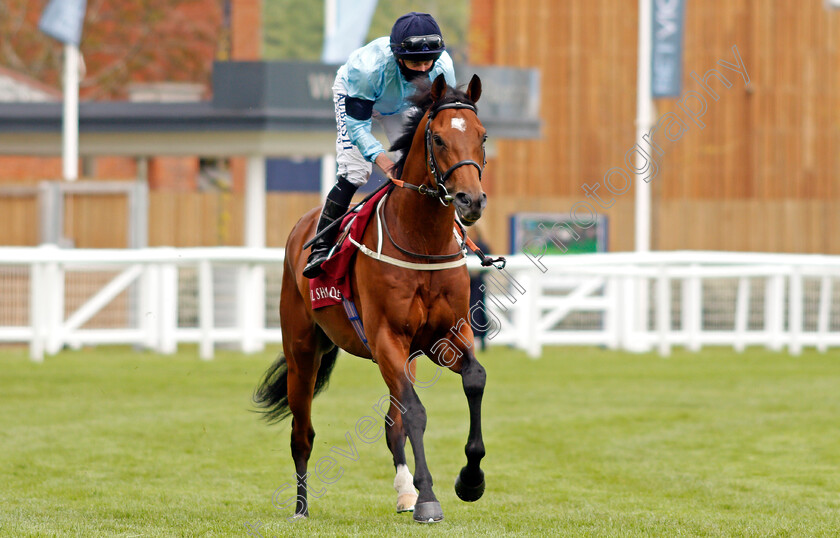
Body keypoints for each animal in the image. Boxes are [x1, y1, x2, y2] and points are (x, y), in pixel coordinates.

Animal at [253, 73, 488, 520]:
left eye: (482, 136)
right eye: (438, 139)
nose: (471, 200)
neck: (423, 241)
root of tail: (303, 224)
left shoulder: (446, 336)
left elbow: (473, 380)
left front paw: (470, 480)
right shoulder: (385, 338)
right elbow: (416, 412)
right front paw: (429, 499)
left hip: (405, 356)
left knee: (392, 423)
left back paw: (405, 492)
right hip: (302, 351)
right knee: (302, 432)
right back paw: (301, 508)